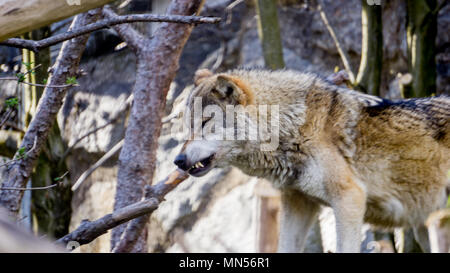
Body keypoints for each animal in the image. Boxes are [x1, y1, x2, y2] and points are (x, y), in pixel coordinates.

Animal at [173, 68, 450, 253]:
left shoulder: (349, 198)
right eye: (188, 126)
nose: (178, 160)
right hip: (424, 227)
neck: (293, 126)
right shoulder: (298, 202)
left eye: (205, 122)